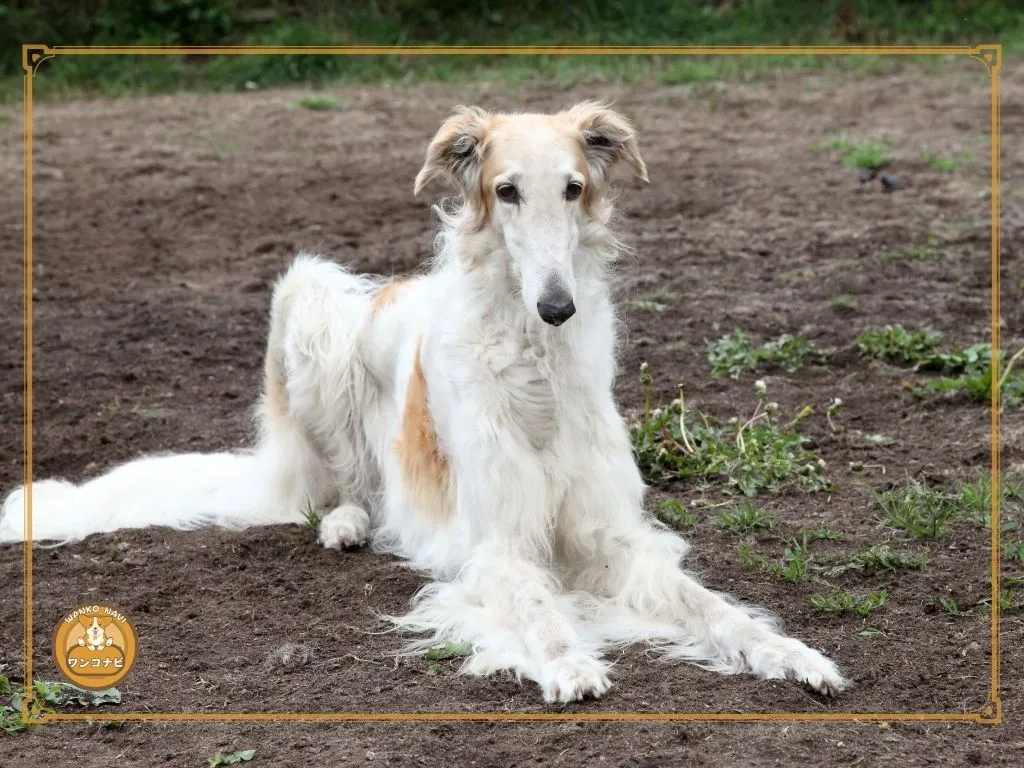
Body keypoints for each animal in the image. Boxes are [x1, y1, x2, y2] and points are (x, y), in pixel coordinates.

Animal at [0, 102, 843, 704]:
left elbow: (715, 608)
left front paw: (792, 654)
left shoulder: (612, 535)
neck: (534, 370)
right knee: (341, 485)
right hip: (309, 299)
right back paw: (346, 523)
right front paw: (569, 663)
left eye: (573, 188)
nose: (557, 307)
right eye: (506, 191)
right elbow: (539, 607)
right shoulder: (496, 544)